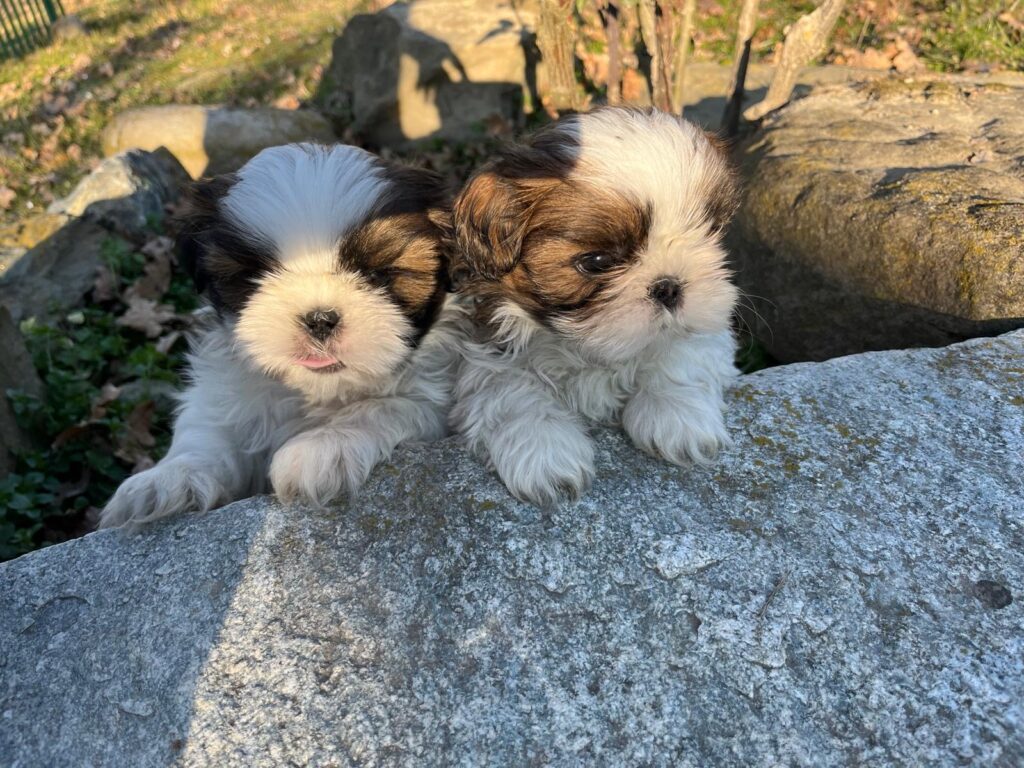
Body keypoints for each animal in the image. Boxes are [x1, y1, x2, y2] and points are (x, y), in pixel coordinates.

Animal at [100, 143, 460, 528]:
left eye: (377, 274)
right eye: (255, 276)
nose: (320, 319)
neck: (317, 391)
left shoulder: (430, 401)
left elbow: (384, 407)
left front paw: (323, 446)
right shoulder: (221, 394)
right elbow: (205, 430)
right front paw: (167, 478)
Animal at [448, 105, 737, 507]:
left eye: (708, 229)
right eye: (597, 262)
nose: (668, 286)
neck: (589, 352)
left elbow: (683, 351)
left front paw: (678, 417)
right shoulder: (487, 344)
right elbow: (508, 391)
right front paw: (545, 451)